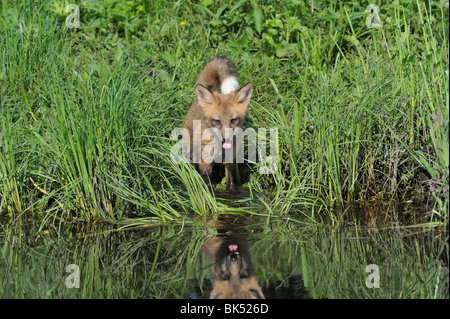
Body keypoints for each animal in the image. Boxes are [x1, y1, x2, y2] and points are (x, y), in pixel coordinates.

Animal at [183, 57, 253, 191]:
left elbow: (231, 180)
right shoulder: (205, 161)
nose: (226, 139)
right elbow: (206, 181)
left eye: (233, 120)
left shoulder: (230, 159)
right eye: (217, 121)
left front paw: (231, 191)